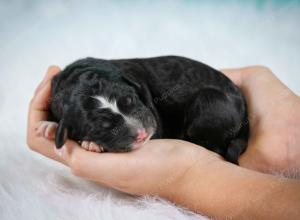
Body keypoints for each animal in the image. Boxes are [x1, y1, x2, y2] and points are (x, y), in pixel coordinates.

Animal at [37, 55, 248, 164]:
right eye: (103, 126)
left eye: (130, 98)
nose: (141, 134)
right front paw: (49, 125)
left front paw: (91, 144)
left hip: (210, 101)